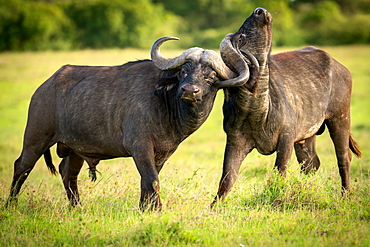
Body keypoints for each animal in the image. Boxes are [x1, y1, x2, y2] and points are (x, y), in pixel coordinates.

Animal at [6, 36, 251, 210]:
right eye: (184, 71)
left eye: (211, 76)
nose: (189, 90)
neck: (166, 105)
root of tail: (43, 88)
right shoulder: (139, 146)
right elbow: (152, 179)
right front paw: (157, 209)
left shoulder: (162, 152)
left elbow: (147, 180)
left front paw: (145, 209)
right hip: (36, 138)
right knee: (22, 167)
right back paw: (11, 205)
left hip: (75, 148)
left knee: (68, 173)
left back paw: (77, 208)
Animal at [211, 6, 362, 206]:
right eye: (241, 36)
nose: (260, 11)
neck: (256, 109)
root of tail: (341, 68)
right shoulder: (235, 141)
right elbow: (227, 178)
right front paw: (214, 205)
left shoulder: (287, 138)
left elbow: (280, 172)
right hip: (307, 136)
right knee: (311, 164)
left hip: (340, 117)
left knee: (343, 158)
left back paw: (345, 196)